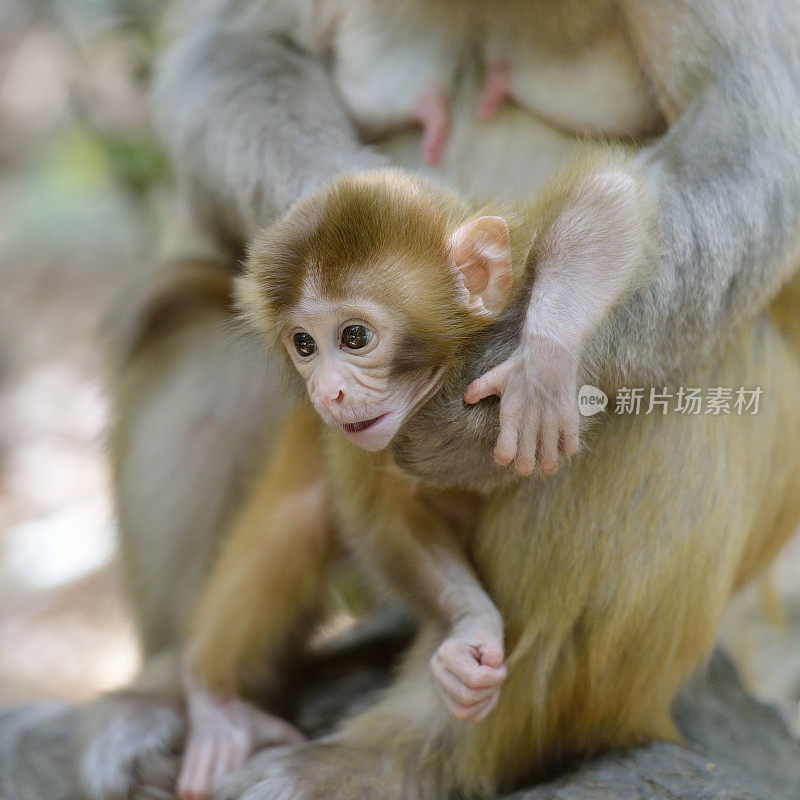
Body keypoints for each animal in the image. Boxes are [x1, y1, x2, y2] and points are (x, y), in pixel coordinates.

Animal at [83, 4, 800, 800]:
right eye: (306, 345)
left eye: (357, 337)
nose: (328, 388)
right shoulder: (361, 439)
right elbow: (235, 50)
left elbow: (738, 144)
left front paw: (518, 378)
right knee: (195, 324)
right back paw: (187, 695)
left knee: (699, 365)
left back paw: (420, 752)